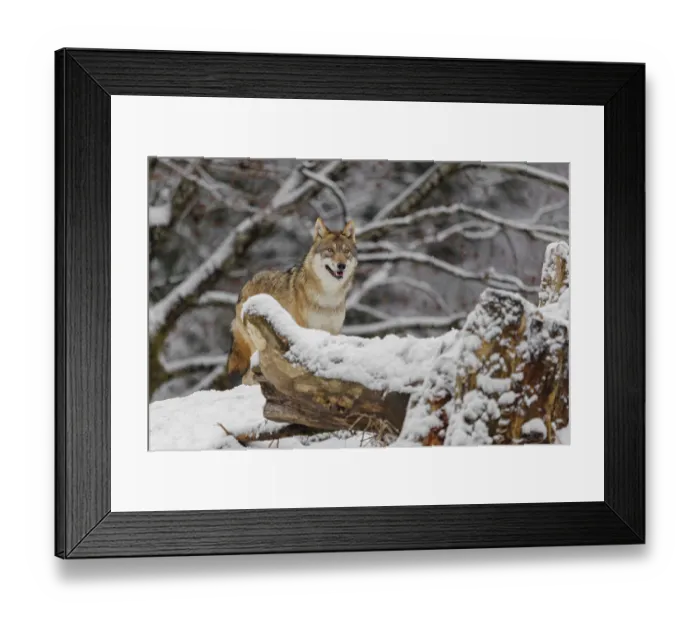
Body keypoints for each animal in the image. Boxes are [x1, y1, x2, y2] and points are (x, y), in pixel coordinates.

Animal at [227, 217, 358, 384]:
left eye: (346, 252)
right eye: (330, 250)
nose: (342, 265)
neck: (328, 296)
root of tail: (245, 286)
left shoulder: (333, 332)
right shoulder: (304, 331)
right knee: (247, 377)